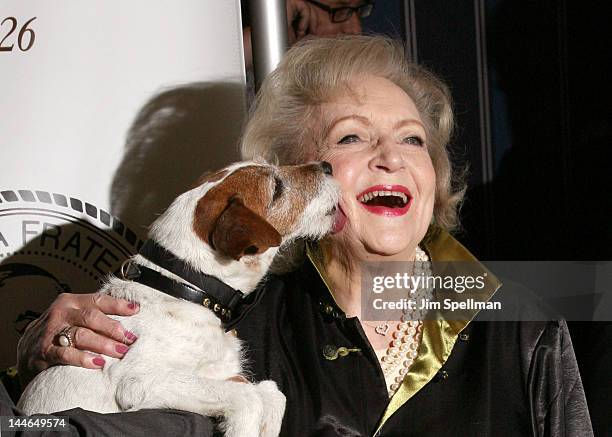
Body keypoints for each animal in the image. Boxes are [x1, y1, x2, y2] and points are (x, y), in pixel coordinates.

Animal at [16, 160, 340, 436]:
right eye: (276, 188)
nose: (327, 165)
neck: (184, 288)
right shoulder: (139, 383)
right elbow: (247, 397)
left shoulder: (225, 374)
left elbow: (273, 393)